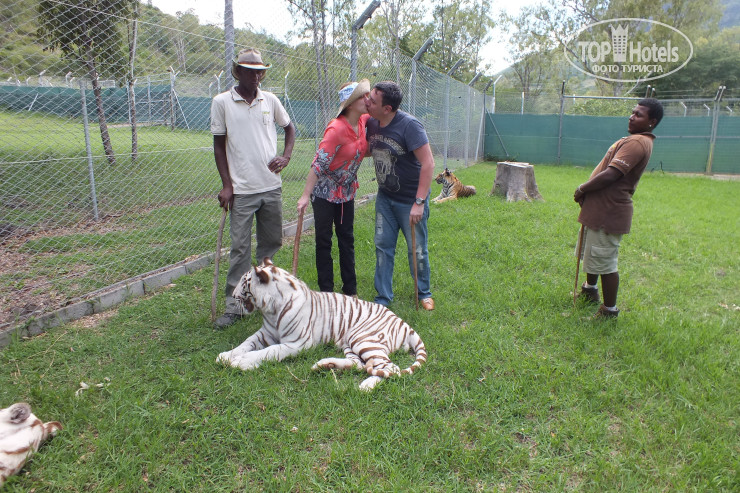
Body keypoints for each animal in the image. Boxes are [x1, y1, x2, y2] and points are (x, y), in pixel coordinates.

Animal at [216, 258, 427, 391]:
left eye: (244, 282)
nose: (233, 295)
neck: (271, 310)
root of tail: (404, 323)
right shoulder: (265, 333)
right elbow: (247, 343)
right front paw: (226, 356)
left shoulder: (297, 343)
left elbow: (269, 351)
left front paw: (241, 362)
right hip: (349, 342)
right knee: (359, 364)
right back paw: (324, 365)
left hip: (362, 338)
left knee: (391, 368)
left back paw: (365, 386)